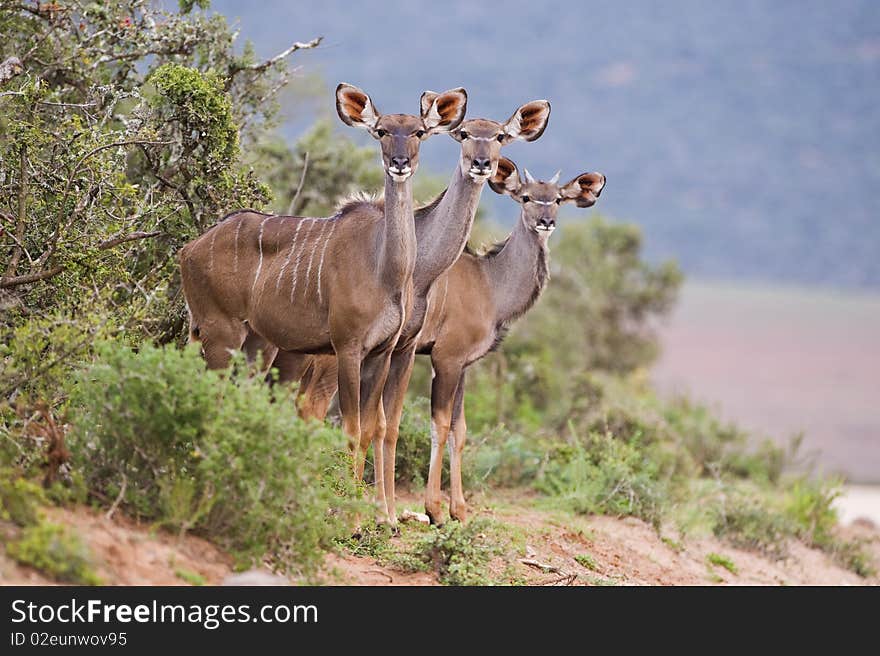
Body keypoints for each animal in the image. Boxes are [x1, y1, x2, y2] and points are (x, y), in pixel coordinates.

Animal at [179, 83, 468, 524]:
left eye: (418, 132)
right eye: (382, 131)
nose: (399, 163)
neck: (386, 268)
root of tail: (188, 249)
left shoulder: (383, 352)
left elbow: (373, 427)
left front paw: (382, 519)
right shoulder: (347, 347)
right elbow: (351, 428)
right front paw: (355, 521)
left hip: (256, 343)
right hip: (220, 332)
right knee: (213, 395)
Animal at [262, 100, 552, 524]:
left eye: (500, 135)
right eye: (464, 134)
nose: (481, 164)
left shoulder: (410, 350)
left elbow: (392, 424)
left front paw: (389, 512)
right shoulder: (426, 354)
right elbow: (396, 423)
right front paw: (408, 511)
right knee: (310, 410)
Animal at [288, 158, 604, 524]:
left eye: (557, 199)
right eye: (525, 197)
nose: (545, 222)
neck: (488, 285)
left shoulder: (464, 365)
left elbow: (460, 429)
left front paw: (461, 510)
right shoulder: (447, 359)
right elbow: (439, 425)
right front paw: (436, 510)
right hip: (337, 355)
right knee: (316, 408)